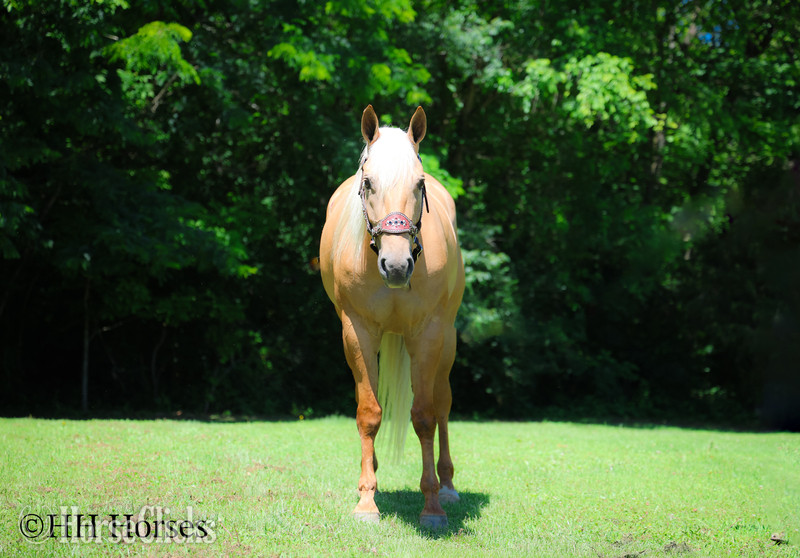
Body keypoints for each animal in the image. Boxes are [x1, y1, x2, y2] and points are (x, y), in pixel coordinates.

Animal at [319, 105, 465, 529]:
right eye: (367, 183)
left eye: (419, 184)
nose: (397, 266)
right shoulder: (357, 332)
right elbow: (368, 413)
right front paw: (367, 501)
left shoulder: (429, 334)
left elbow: (426, 416)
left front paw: (431, 506)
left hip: (447, 343)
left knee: (444, 403)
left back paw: (448, 487)